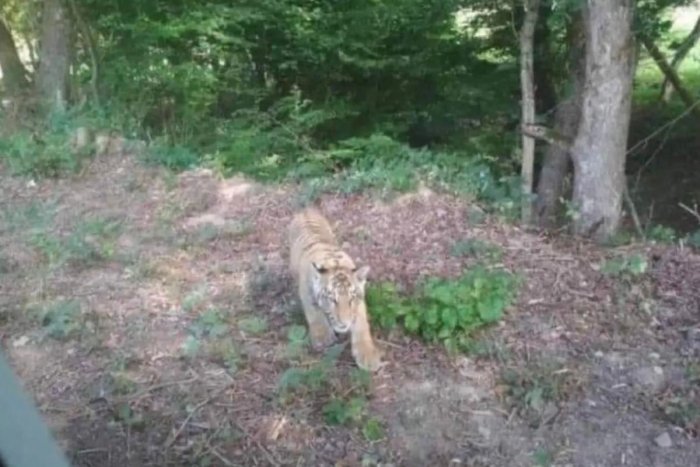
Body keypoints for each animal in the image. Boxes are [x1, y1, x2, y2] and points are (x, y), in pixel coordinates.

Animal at [288, 208, 382, 372]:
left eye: (351, 299)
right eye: (332, 299)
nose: (344, 324)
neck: (334, 263)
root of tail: (305, 209)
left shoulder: (359, 303)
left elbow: (361, 325)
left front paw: (367, 355)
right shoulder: (306, 291)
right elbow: (314, 312)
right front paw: (323, 337)